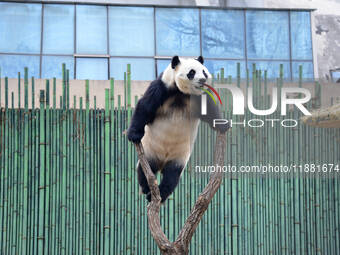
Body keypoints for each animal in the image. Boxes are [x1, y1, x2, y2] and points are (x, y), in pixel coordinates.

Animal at [127, 55, 228, 203]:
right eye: (192, 72)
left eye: (204, 72)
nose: (203, 80)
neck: (182, 93)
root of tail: (162, 162)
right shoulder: (163, 87)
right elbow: (145, 106)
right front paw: (134, 135)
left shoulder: (199, 96)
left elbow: (209, 110)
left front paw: (223, 124)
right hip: (150, 151)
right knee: (145, 170)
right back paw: (147, 189)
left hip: (179, 158)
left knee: (172, 176)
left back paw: (160, 194)